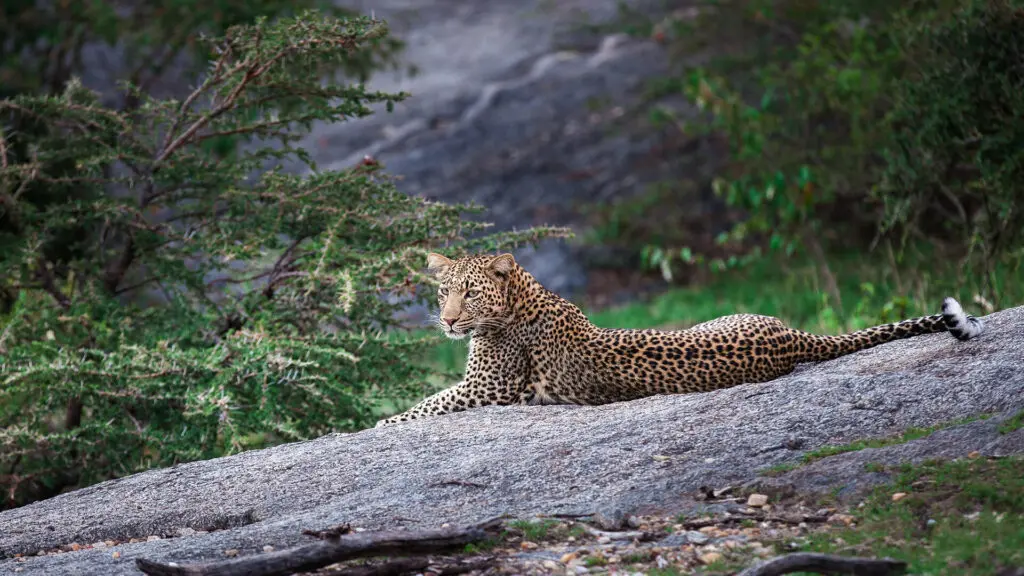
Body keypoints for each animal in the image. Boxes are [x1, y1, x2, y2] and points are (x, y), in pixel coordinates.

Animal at [375, 252, 985, 427]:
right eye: (443, 293)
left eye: (470, 295)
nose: (447, 322)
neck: (524, 292)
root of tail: (796, 337)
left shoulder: (488, 390)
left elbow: (414, 410)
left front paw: (376, 426)